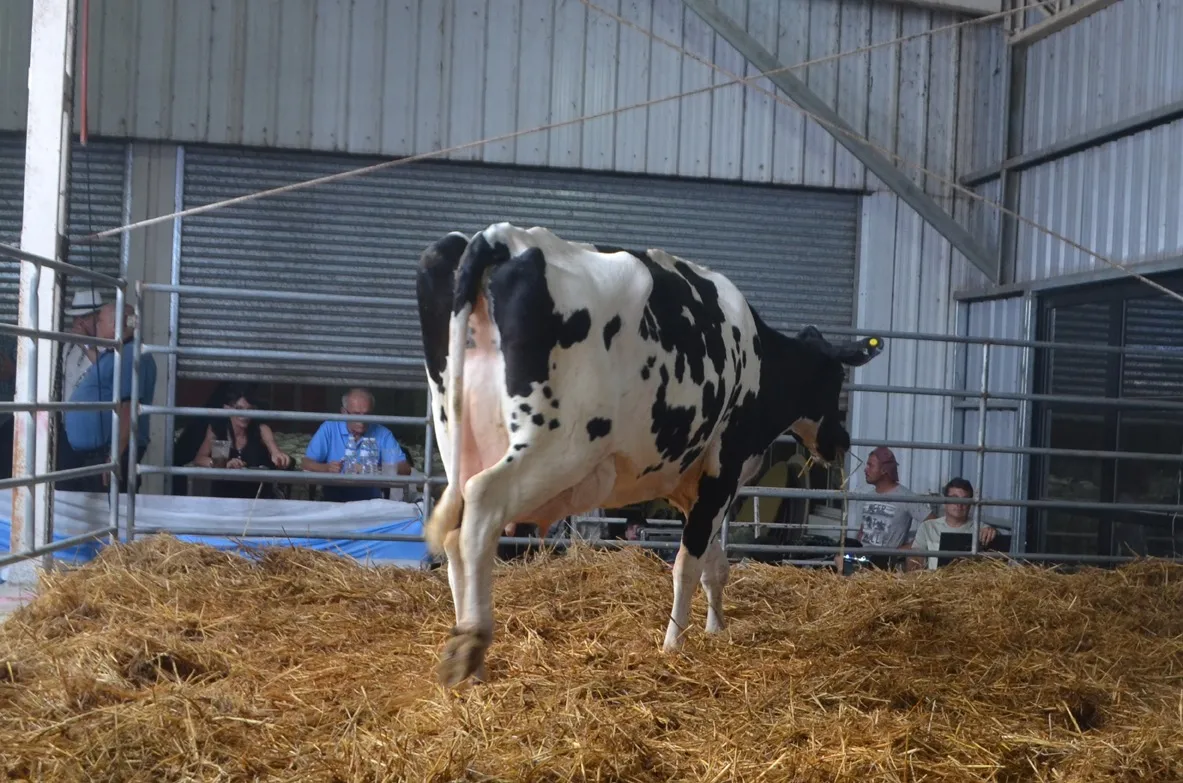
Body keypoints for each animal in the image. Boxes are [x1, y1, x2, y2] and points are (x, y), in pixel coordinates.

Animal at [415, 222, 883, 687]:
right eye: (835, 377)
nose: (841, 441)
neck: (759, 359)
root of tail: (502, 238)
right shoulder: (723, 471)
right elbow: (688, 564)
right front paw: (674, 643)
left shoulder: (690, 486)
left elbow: (714, 563)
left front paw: (715, 629)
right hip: (558, 444)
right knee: (483, 505)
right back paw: (472, 644)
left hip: (456, 436)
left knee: (456, 531)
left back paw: (469, 657)